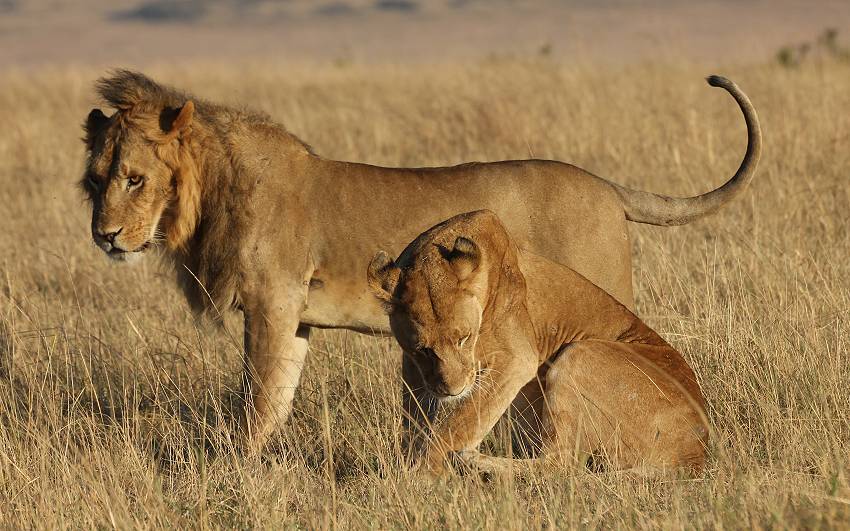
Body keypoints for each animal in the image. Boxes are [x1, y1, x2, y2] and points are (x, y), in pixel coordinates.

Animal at [79, 69, 756, 444]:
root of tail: (607, 186)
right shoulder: (292, 316)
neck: (213, 192)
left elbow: (258, 399)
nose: (105, 236)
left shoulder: (272, 304)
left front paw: (236, 467)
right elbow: (277, 395)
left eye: (136, 179)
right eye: (96, 180)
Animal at [368, 210, 704, 476]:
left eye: (463, 339)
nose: (452, 390)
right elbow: (415, 419)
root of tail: (695, 453)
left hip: (579, 354)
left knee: (560, 464)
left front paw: (418, 477)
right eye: (422, 349)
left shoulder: (516, 359)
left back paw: (475, 462)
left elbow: (459, 424)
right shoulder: (414, 370)